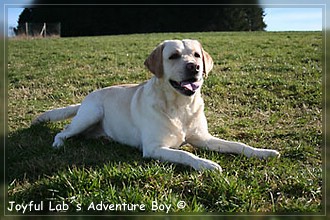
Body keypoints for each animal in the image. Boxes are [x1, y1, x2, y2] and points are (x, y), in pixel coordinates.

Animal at [32, 39, 280, 170]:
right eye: (173, 56)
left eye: (196, 55)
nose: (194, 67)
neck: (180, 106)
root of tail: (88, 96)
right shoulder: (153, 148)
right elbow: (185, 155)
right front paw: (206, 165)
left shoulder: (203, 138)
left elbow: (238, 145)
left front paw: (263, 152)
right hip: (90, 114)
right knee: (63, 132)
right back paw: (58, 144)